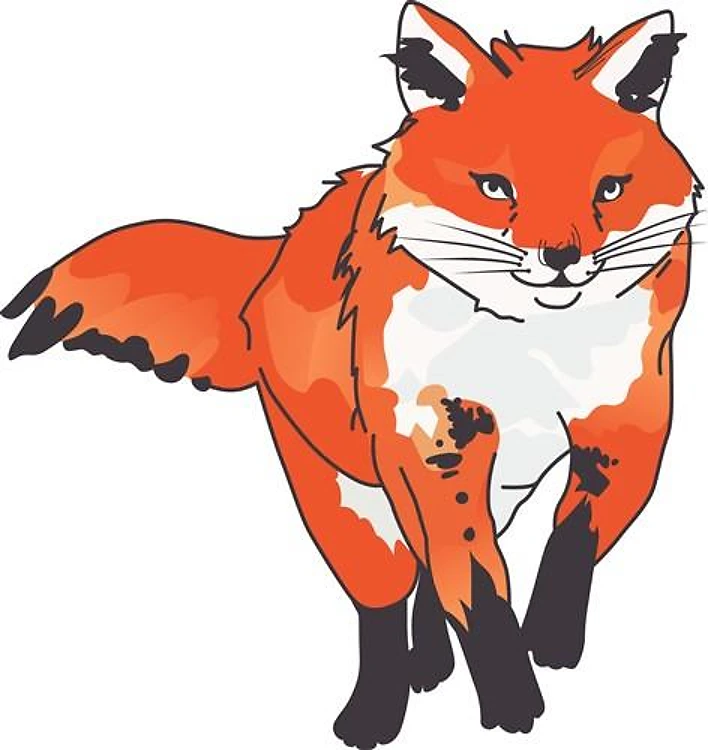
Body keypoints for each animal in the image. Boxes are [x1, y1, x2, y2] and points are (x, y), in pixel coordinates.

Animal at [1, 2, 701, 747]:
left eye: (609, 191)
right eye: (494, 188)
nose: (563, 260)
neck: (529, 354)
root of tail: (274, 256)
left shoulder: (627, 426)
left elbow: (573, 540)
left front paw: (550, 640)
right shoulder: (437, 443)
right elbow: (476, 587)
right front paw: (512, 699)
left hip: (490, 489)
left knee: (425, 572)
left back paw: (431, 663)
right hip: (347, 499)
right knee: (389, 592)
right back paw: (376, 710)